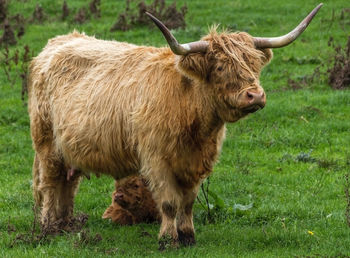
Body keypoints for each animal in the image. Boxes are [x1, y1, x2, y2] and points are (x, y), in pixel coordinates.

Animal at [28, 4, 322, 249]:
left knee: (68, 184)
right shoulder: (156, 160)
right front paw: (168, 239)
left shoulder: (197, 161)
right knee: (50, 184)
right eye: (219, 67)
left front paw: (188, 236)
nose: (255, 95)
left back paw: (65, 226)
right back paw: (48, 228)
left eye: (254, 64)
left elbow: (188, 202)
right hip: (46, 145)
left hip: (69, 150)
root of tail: (57, 42)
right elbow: (169, 202)